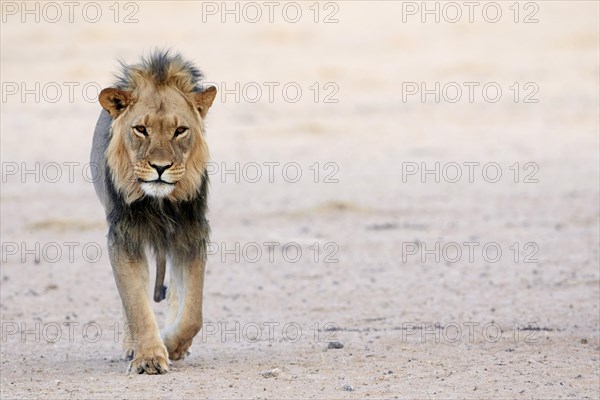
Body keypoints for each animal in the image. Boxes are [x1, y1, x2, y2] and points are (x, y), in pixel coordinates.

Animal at [90, 50, 217, 376]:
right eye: (141, 129)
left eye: (180, 130)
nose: (161, 167)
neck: (160, 204)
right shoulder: (124, 238)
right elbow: (135, 302)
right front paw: (148, 356)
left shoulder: (191, 233)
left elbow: (193, 313)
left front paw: (172, 344)